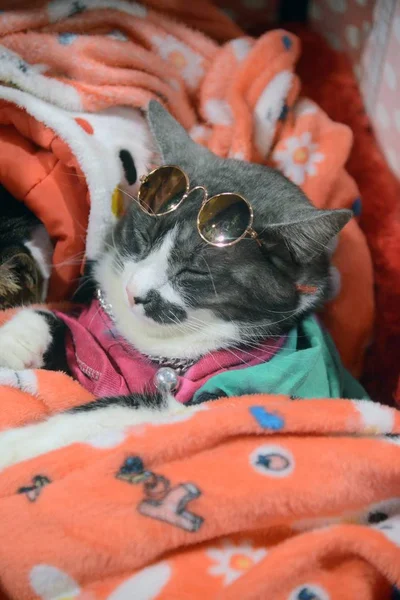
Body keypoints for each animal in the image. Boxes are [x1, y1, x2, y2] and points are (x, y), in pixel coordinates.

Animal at [0, 102, 350, 468]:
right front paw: (13, 340)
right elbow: (57, 322)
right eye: (142, 238)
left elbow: (127, 408)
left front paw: (15, 445)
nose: (134, 293)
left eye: (193, 272)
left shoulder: (226, 398)